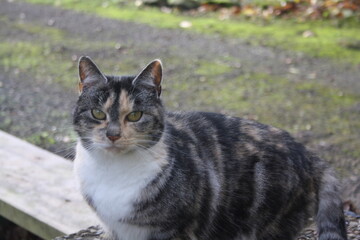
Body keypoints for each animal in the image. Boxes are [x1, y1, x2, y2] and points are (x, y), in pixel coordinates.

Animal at [72, 56, 346, 240]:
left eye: (135, 115)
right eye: (98, 113)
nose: (113, 135)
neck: (113, 171)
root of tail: (307, 153)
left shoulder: (175, 230)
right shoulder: (118, 230)